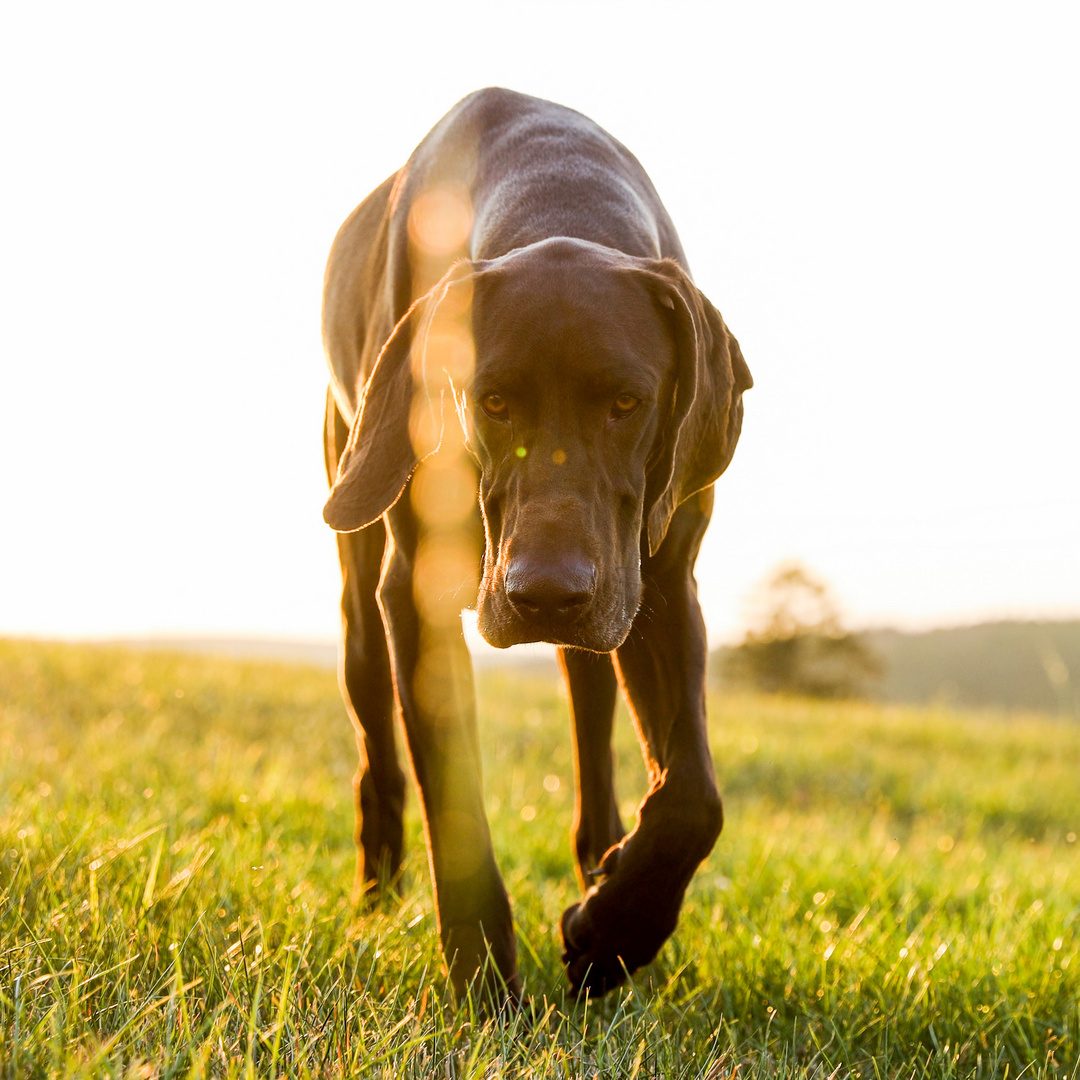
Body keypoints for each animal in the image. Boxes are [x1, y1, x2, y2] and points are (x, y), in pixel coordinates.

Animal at [319, 88, 751, 997]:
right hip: (356, 534)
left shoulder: (662, 582)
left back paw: (602, 867)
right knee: (376, 737)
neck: (556, 192)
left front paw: (615, 928)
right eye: (491, 400)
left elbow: (694, 798)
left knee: (594, 727)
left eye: (627, 402)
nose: (544, 592)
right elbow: (455, 798)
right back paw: (378, 888)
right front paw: (488, 987)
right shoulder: (417, 596)